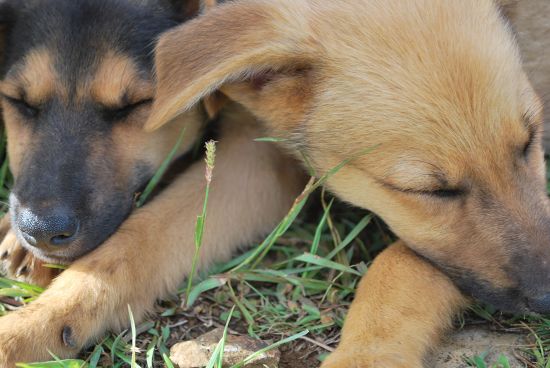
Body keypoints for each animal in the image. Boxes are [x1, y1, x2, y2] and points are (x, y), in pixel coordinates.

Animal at [0, 0, 304, 364]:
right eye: (18, 101)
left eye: (136, 104)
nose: (42, 232)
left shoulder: (262, 153)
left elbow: (135, 243)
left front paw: (29, 328)